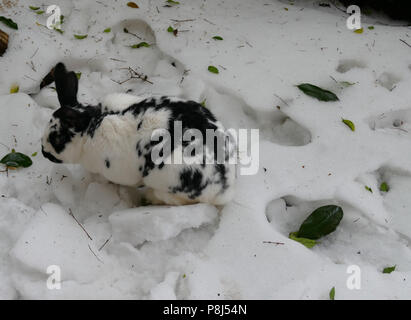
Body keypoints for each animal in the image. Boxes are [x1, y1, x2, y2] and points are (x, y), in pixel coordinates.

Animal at [42, 62, 237, 205]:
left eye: (57, 138)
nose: (44, 153)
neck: (91, 126)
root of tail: (224, 187)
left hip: (167, 176)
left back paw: (148, 198)